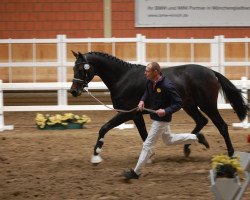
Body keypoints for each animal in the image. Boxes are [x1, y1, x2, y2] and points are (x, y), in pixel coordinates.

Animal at [69, 50, 249, 164]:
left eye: (81, 68)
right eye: (73, 68)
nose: (73, 91)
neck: (123, 78)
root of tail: (212, 73)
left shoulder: (127, 113)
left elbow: (104, 128)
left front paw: (96, 156)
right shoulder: (136, 114)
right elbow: (144, 135)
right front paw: (149, 156)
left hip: (207, 104)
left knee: (221, 126)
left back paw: (231, 154)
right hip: (189, 105)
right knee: (201, 121)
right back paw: (188, 147)